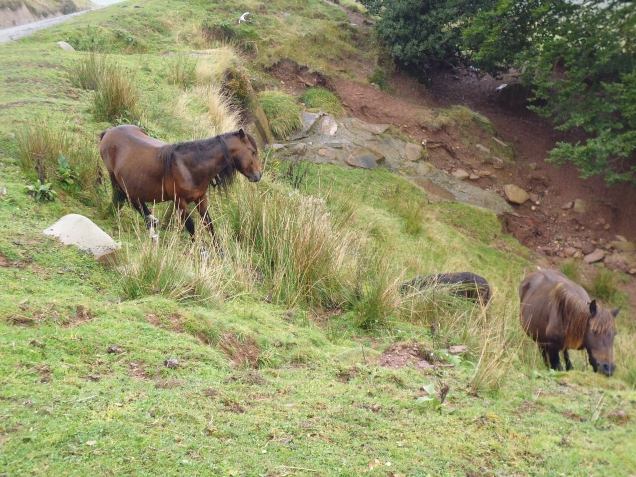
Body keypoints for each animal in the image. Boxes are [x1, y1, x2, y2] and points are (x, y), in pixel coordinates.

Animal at [98, 123, 260, 238]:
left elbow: (209, 224)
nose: (258, 175)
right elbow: (190, 226)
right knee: (133, 202)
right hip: (117, 180)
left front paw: (220, 253)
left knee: (136, 200)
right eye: (253, 152)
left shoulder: (201, 198)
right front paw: (201, 252)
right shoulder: (180, 202)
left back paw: (152, 220)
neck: (188, 166)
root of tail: (108, 132)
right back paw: (151, 231)